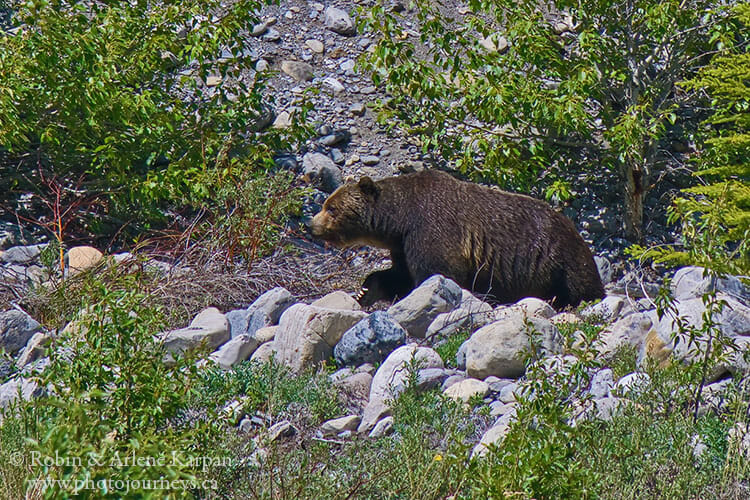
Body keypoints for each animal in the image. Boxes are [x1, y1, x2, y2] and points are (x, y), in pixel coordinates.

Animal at [308, 170, 608, 306]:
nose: (312, 225)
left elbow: (437, 271)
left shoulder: (431, 227)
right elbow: (400, 274)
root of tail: (574, 228)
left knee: (580, 283)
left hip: (560, 256)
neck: (399, 220)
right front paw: (366, 289)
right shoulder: (403, 244)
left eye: (331, 207)